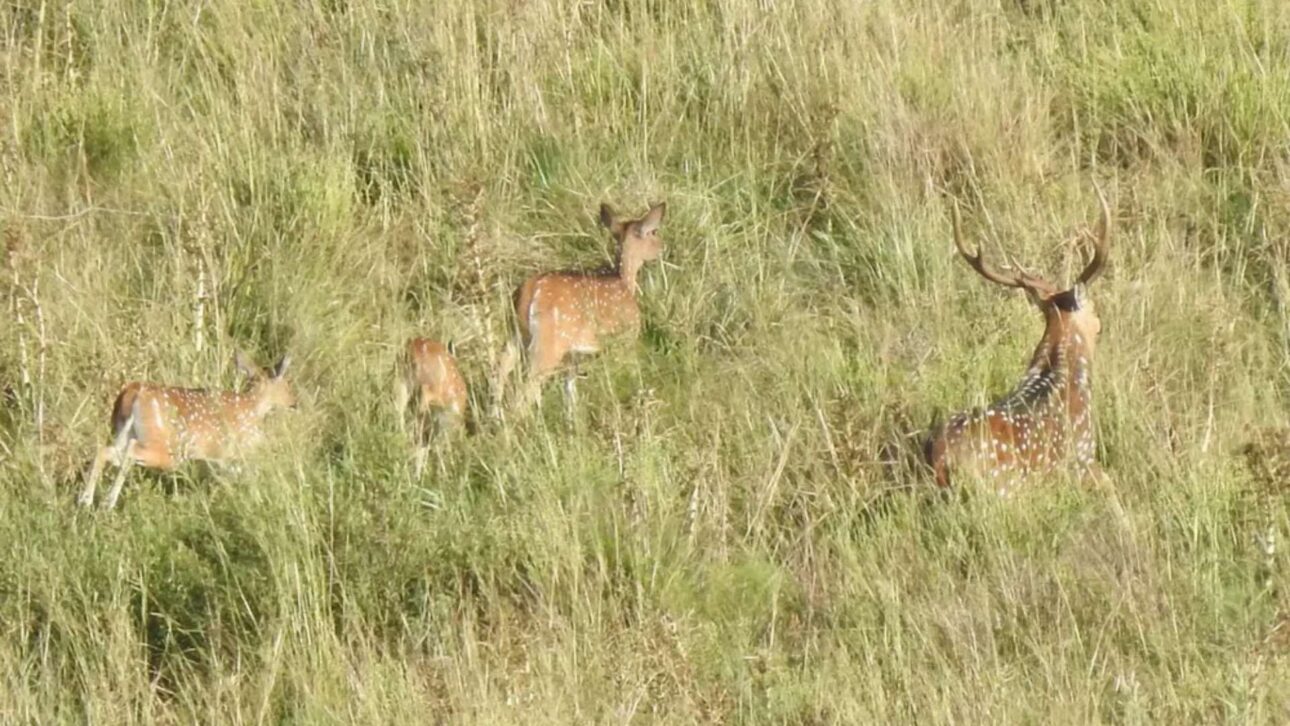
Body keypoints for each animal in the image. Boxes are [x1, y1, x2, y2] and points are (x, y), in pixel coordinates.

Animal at [78, 351, 296, 510]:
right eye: (287, 385)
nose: (294, 403)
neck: (254, 406)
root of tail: (132, 392)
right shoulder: (233, 450)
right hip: (167, 448)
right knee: (131, 452)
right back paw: (107, 502)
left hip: (123, 434)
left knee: (104, 451)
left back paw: (85, 500)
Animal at [498, 201, 666, 409]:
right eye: (653, 232)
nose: (662, 247)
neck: (625, 282)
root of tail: (531, 291)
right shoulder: (626, 337)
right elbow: (629, 373)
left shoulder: (573, 356)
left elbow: (570, 391)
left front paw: (573, 416)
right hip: (549, 341)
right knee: (524, 390)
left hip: (515, 334)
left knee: (500, 371)